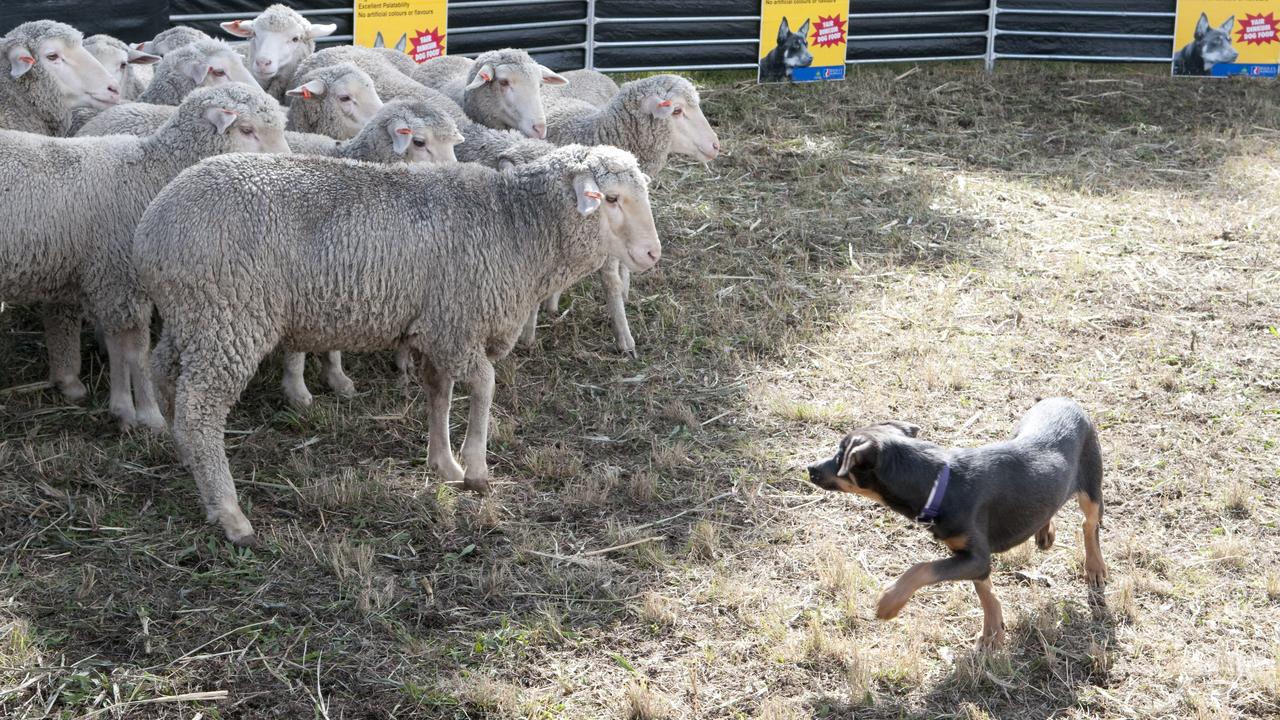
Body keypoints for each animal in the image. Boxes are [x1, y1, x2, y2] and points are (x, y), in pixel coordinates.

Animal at [0, 82, 290, 425]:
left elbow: (119, 346)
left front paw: (124, 408)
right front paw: (147, 414)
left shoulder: (116, 283)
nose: (288, 165)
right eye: (247, 130)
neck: (151, 174)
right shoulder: (119, 278)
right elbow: (135, 351)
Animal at [136, 144, 665, 543]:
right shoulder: (458, 324)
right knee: (201, 409)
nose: (653, 254)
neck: (514, 226)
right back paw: (230, 513)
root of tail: (152, 228)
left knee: (163, 373)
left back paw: (186, 459)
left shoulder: (436, 327)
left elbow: (439, 393)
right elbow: (485, 386)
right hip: (228, 317)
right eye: (611, 198)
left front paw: (443, 463)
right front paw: (477, 469)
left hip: (191, 319)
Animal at [519, 73, 721, 353]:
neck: (596, 130)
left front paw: (622, 328)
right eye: (677, 110)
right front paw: (528, 332)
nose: (716, 145)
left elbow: (613, 279)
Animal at [803, 394, 1105, 648]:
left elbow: (922, 569)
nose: (810, 468)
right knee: (1051, 504)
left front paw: (889, 602)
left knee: (1089, 525)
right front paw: (993, 631)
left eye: (841, 457)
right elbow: (984, 590)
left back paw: (1095, 568)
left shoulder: (975, 556)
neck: (939, 482)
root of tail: (1065, 399)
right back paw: (1045, 532)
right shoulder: (970, 557)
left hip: (1091, 487)